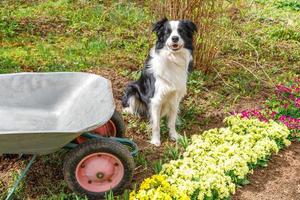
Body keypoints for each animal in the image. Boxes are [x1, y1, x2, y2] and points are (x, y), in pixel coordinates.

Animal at [122, 18, 197, 146]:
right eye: (167, 32)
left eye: (181, 31)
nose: (175, 38)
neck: (172, 58)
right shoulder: (156, 99)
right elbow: (156, 125)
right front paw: (156, 141)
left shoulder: (175, 98)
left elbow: (171, 121)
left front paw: (174, 136)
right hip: (132, 88)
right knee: (133, 107)